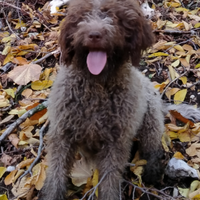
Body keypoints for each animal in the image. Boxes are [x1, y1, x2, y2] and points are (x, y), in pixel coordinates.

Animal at [39, 0, 166, 199]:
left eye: (114, 16)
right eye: (83, 15)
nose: (94, 35)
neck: (96, 88)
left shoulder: (115, 143)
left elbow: (109, 182)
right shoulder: (62, 133)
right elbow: (56, 175)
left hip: (151, 119)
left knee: (153, 147)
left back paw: (152, 170)